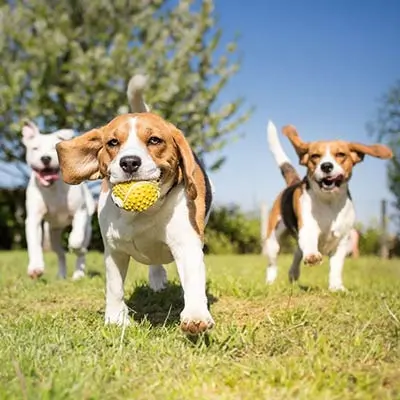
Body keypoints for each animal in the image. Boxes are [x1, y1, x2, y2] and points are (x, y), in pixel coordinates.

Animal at [22, 120, 95, 280]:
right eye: (35, 148)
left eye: (54, 148)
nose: (45, 158)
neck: (53, 188)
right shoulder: (34, 219)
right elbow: (34, 244)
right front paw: (35, 268)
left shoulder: (80, 213)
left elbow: (76, 239)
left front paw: (74, 245)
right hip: (52, 234)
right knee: (60, 253)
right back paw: (61, 275)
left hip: (87, 228)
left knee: (81, 249)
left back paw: (78, 273)